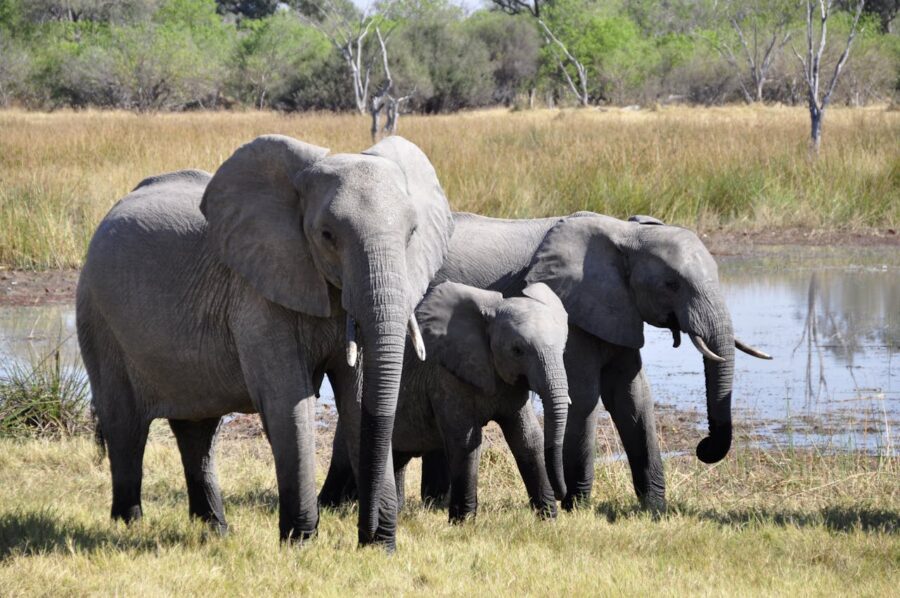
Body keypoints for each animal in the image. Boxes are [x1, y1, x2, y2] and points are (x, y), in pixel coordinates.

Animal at [76, 134, 453, 550]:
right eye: (327, 236)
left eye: (412, 233)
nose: (370, 536)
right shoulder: (256, 294)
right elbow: (288, 401)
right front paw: (300, 542)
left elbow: (357, 400)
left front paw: (377, 547)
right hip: (97, 316)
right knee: (125, 425)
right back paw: (128, 525)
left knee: (198, 430)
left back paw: (215, 530)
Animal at [320, 211, 771, 512]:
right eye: (671, 284)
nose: (704, 448)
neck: (626, 233)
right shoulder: (576, 308)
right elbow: (585, 397)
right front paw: (578, 506)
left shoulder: (617, 310)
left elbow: (632, 397)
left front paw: (654, 510)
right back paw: (339, 506)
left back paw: (428, 504)